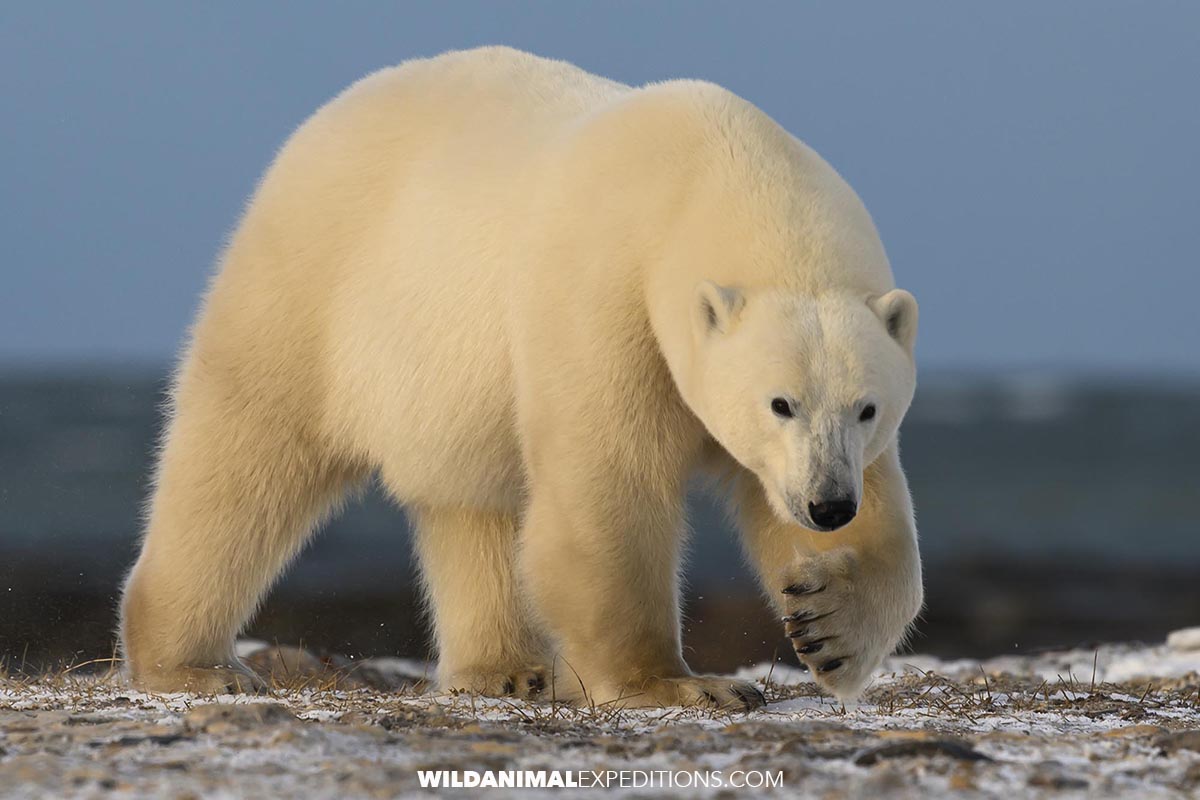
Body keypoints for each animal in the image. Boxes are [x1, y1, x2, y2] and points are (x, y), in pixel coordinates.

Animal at [119, 46, 923, 709]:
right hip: (314, 286)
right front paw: (680, 683)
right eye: (780, 403)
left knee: (474, 501)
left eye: (867, 409)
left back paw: (507, 669)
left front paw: (827, 624)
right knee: (243, 457)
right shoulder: (605, 291)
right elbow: (609, 482)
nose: (827, 505)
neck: (717, 176)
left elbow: (875, 513)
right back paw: (196, 663)